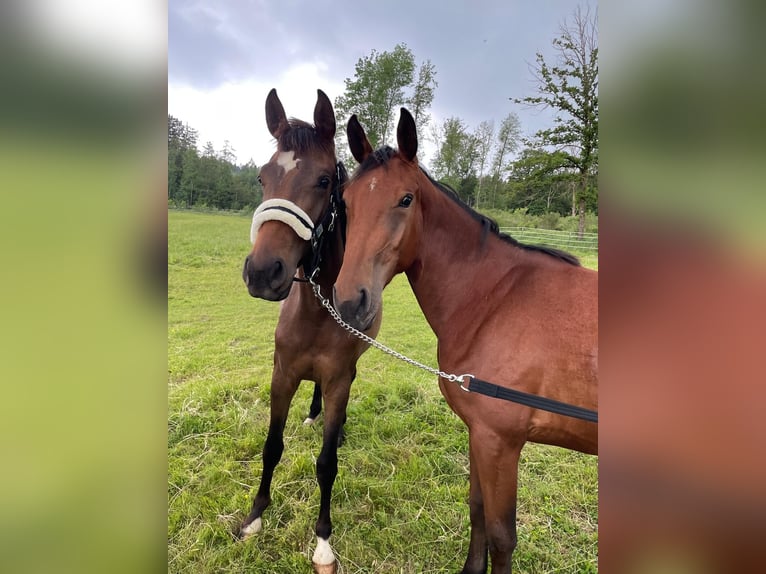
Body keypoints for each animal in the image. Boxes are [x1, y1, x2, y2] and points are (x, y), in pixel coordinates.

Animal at [242, 90, 382, 574]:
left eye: (323, 181)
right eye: (263, 177)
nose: (262, 272)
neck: (316, 313)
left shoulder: (339, 378)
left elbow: (326, 464)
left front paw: (323, 540)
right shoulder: (282, 375)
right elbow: (271, 446)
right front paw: (254, 517)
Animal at [334, 109, 600, 574]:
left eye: (406, 199)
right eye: (346, 202)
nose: (351, 302)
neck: (494, 299)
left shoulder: (500, 442)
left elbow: (502, 535)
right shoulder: (480, 435)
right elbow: (477, 509)